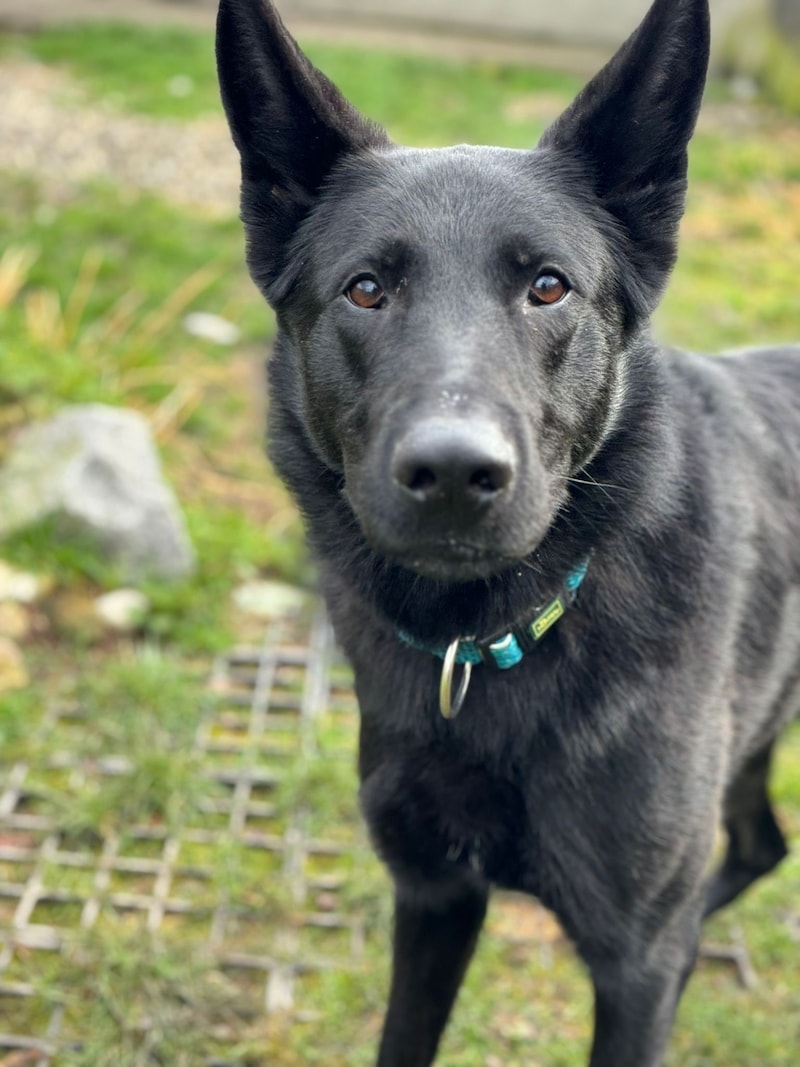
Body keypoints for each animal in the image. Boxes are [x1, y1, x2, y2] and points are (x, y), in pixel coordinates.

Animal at [216, 4, 797, 1062]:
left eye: (549, 287)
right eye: (367, 289)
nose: (454, 472)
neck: (488, 639)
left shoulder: (635, 971)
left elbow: (651, 960)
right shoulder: (434, 899)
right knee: (763, 843)